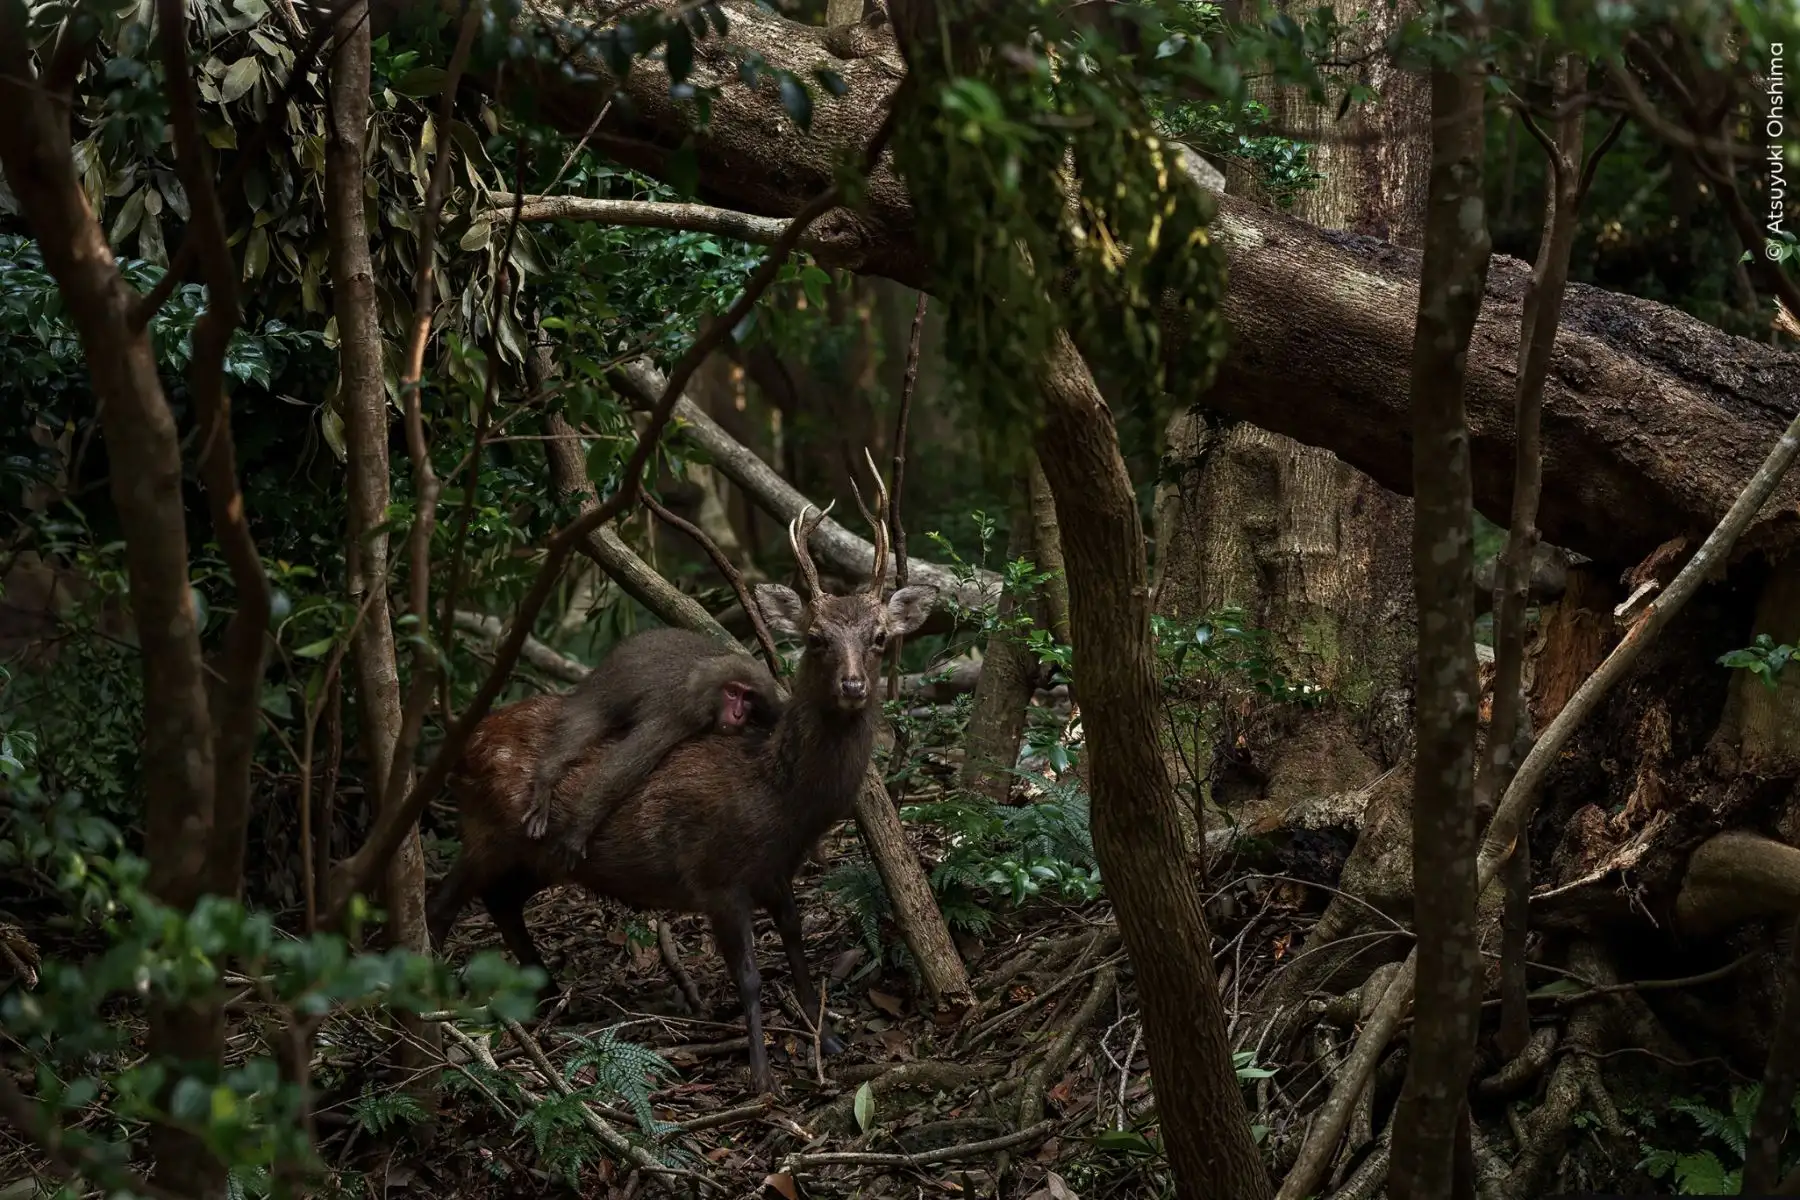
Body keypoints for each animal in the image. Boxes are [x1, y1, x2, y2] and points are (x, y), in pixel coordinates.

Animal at [524, 627, 784, 866]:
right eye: (732, 692)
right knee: (585, 721)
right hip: (604, 686)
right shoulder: (679, 712)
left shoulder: (770, 706)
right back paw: (547, 774)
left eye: (748, 697)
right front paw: (579, 828)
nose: (738, 714)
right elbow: (622, 767)